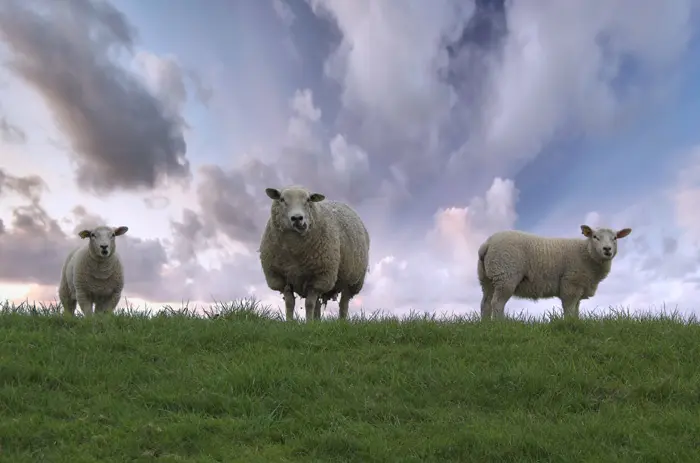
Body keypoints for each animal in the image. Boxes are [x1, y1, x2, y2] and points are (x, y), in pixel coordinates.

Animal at [260, 185, 372, 322]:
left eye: (308, 200)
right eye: (282, 199)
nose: (297, 218)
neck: (294, 250)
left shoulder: (320, 277)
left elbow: (309, 304)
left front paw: (308, 323)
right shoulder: (281, 277)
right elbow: (290, 303)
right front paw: (290, 322)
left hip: (353, 280)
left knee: (343, 303)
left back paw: (341, 321)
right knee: (318, 304)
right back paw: (317, 321)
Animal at [476, 224, 636, 320]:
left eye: (615, 238)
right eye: (595, 237)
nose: (607, 249)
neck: (586, 253)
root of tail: (487, 244)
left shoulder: (579, 286)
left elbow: (576, 309)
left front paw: (576, 323)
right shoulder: (571, 284)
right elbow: (569, 308)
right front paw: (569, 324)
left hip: (488, 278)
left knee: (485, 303)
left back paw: (486, 326)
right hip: (505, 275)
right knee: (497, 303)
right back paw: (500, 324)